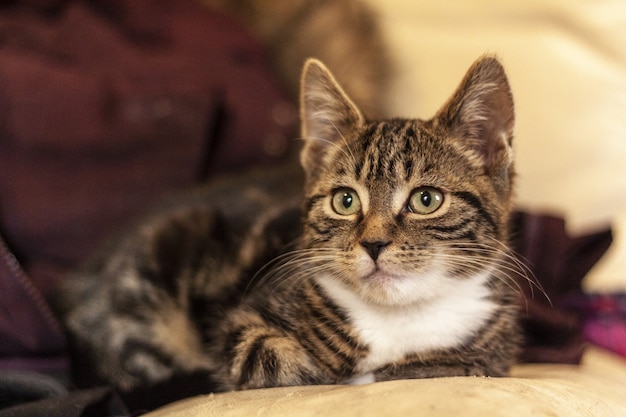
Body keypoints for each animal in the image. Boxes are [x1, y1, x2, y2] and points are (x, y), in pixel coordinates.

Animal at [54, 54, 520, 396]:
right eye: (345, 201)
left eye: (426, 200)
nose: (373, 244)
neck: (398, 316)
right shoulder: (242, 326)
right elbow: (279, 362)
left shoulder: (494, 352)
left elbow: (457, 364)